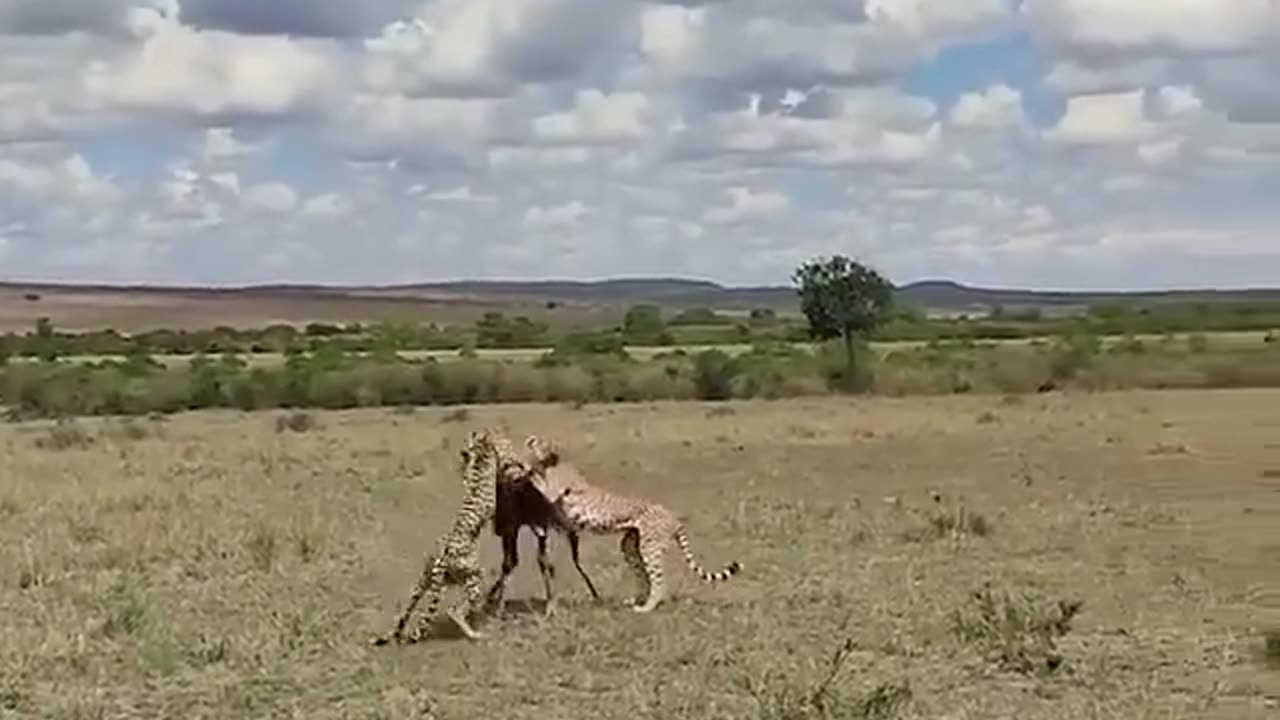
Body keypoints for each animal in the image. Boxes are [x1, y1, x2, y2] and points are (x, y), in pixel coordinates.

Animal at [371, 422, 529, 640]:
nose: (465, 449)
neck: (482, 453)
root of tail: (441, 559)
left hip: (425, 581)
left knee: (407, 611)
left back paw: (393, 634)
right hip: (473, 574)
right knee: (455, 610)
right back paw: (473, 633)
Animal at [519, 430, 742, 609]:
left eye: (541, 441)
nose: (531, 438)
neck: (553, 462)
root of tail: (672, 515)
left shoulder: (552, 491)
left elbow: (537, 480)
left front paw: (522, 465)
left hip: (650, 546)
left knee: (659, 580)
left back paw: (647, 607)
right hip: (631, 544)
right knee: (642, 574)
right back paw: (636, 600)